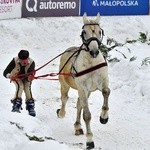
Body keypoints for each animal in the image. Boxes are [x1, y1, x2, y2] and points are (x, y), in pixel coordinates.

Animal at [56, 12, 110, 149]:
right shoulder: (83, 88)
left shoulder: (102, 81)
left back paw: (77, 126)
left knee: (79, 103)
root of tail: (67, 50)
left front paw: (104, 117)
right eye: (84, 32)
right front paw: (90, 140)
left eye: (99, 31)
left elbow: (106, 91)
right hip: (66, 85)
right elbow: (87, 115)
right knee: (65, 98)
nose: (94, 51)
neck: (91, 63)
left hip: (87, 91)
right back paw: (61, 113)